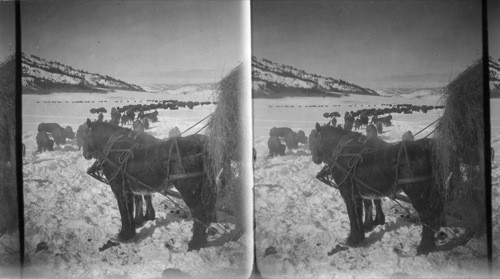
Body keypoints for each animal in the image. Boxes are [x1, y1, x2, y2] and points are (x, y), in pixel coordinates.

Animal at [81, 118, 216, 252]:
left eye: (85, 135)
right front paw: (134, 228)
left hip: (188, 191)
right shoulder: (130, 189)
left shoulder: (119, 189)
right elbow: (133, 206)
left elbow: (124, 211)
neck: (114, 148)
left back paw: (195, 243)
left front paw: (124, 235)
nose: (84, 154)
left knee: (200, 214)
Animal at [310, 123, 444, 255]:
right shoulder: (358, 194)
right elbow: (360, 212)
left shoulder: (348, 194)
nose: (314, 159)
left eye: (313, 140)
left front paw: (353, 239)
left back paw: (424, 247)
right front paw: (361, 234)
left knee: (428, 217)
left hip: (417, 195)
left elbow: (353, 216)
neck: (343, 154)